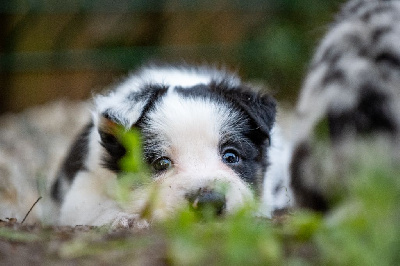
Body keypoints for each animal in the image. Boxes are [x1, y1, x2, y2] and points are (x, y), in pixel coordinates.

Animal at [52, 65, 290, 229]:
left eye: (231, 156)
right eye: (161, 163)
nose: (209, 202)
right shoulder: (82, 190)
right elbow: (95, 208)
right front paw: (125, 219)